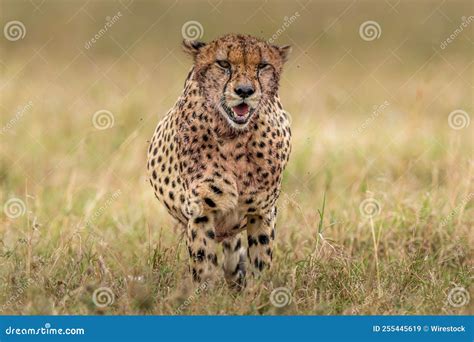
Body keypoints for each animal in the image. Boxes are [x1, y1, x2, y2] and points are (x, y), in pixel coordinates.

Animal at [146, 32, 290, 288]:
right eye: (223, 64)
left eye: (262, 66)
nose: (244, 91)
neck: (235, 137)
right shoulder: (201, 211)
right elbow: (203, 262)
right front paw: (205, 294)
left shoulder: (263, 211)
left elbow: (261, 260)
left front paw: (258, 293)